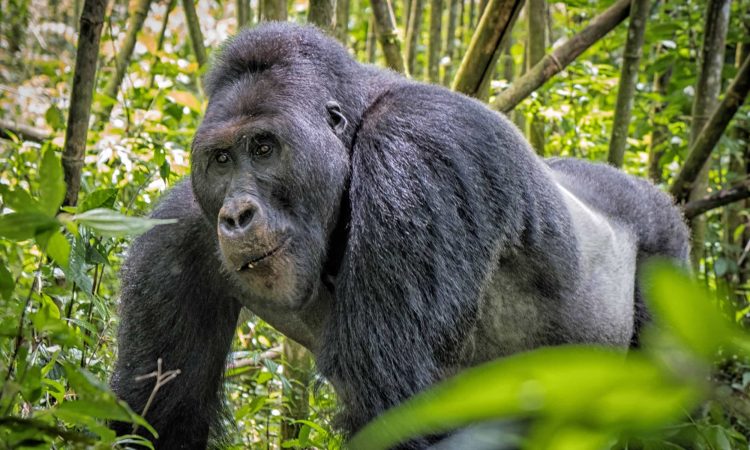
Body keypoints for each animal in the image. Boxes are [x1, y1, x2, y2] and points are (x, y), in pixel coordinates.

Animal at [108, 22, 692, 450]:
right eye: (222, 159)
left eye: (264, 148)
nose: (235, 215)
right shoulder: (179, 231)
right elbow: (160, 419)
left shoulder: (417, 150)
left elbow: (397, 407)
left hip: (665, 248)